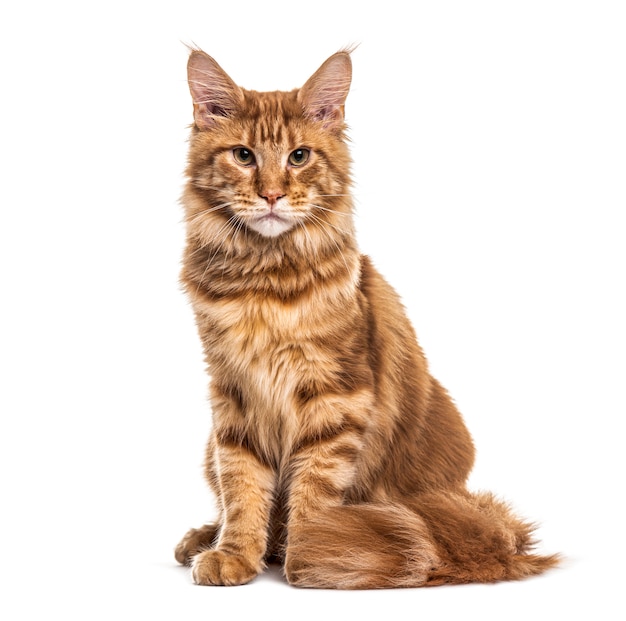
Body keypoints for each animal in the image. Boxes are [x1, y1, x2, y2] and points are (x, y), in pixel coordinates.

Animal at [172, 47, 556, 588]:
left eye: (299, 157)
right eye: (243, 156)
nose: (271, 195)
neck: (263, 281)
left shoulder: (336, 396)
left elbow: (313, 492)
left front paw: (312, 552)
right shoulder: (233, 394)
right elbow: (242, 487)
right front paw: (236, 553)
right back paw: (205, 540)